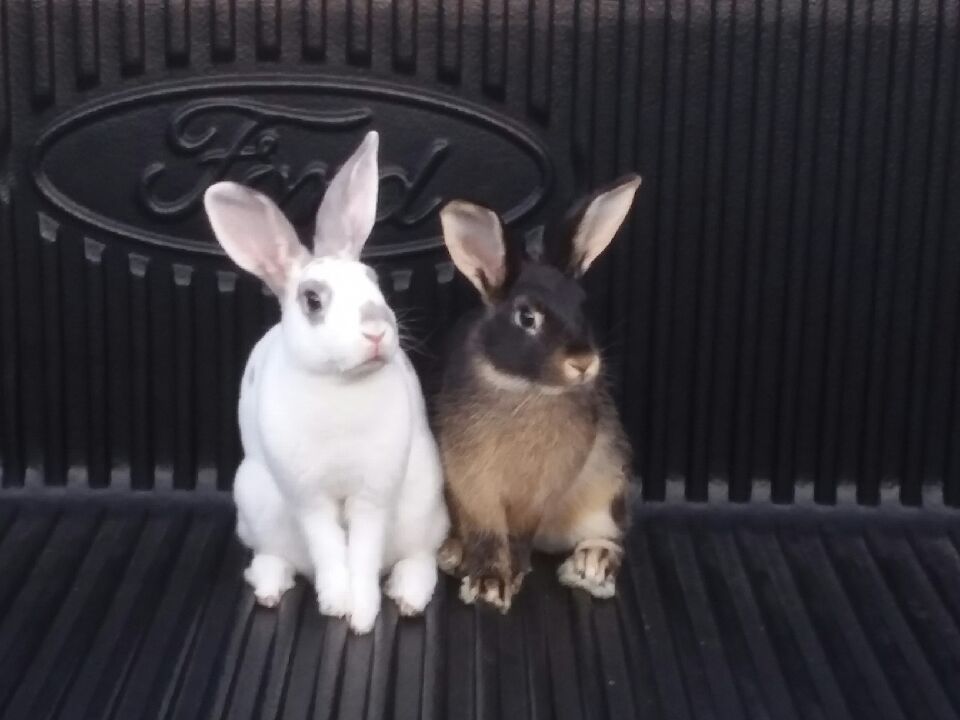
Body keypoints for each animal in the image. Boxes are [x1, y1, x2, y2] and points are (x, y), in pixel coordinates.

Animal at [203, 131, 449, 634]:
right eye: (313, 300)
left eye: (374, 280)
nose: (376, 330)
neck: (340, 385)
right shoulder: (308, 497)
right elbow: (330, 548)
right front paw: (338, 604)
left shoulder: (374, 494)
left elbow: (364, 552)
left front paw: (364, 616)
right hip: (255, 504)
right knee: (278, 557)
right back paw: (269, 587)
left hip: (424, 508)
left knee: (418, 558)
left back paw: (408, 597)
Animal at [433, 175, 642, 612]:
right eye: (526, 317)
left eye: (582, 305)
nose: (582, 362)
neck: (526, 389)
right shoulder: (469, 481)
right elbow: (487, 530)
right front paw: (488, 583)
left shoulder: (543, 491)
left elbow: (518, 533)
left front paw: (509, 575)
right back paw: (454, 553)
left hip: (608, 485)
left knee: (610, 535)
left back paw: (590, 566)